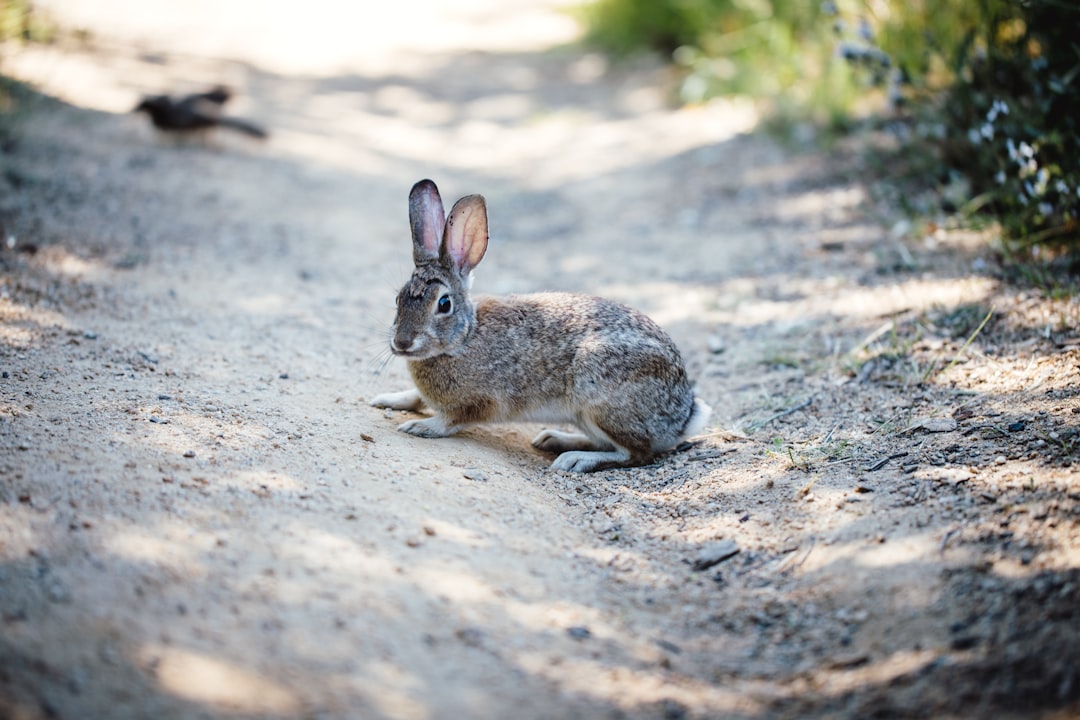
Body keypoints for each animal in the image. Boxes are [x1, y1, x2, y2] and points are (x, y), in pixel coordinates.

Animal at [369, 180, 708, 472]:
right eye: (398, 298)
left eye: (443, 304)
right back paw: (555, 439)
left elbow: (452, 419)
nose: (402, 343)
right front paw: (387, 399)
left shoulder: (480, 402)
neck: (464, 338)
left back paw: (574, 458)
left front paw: (421, 426)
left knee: (637, 453)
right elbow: (416, 396)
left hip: (601, 399)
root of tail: (682, 415)